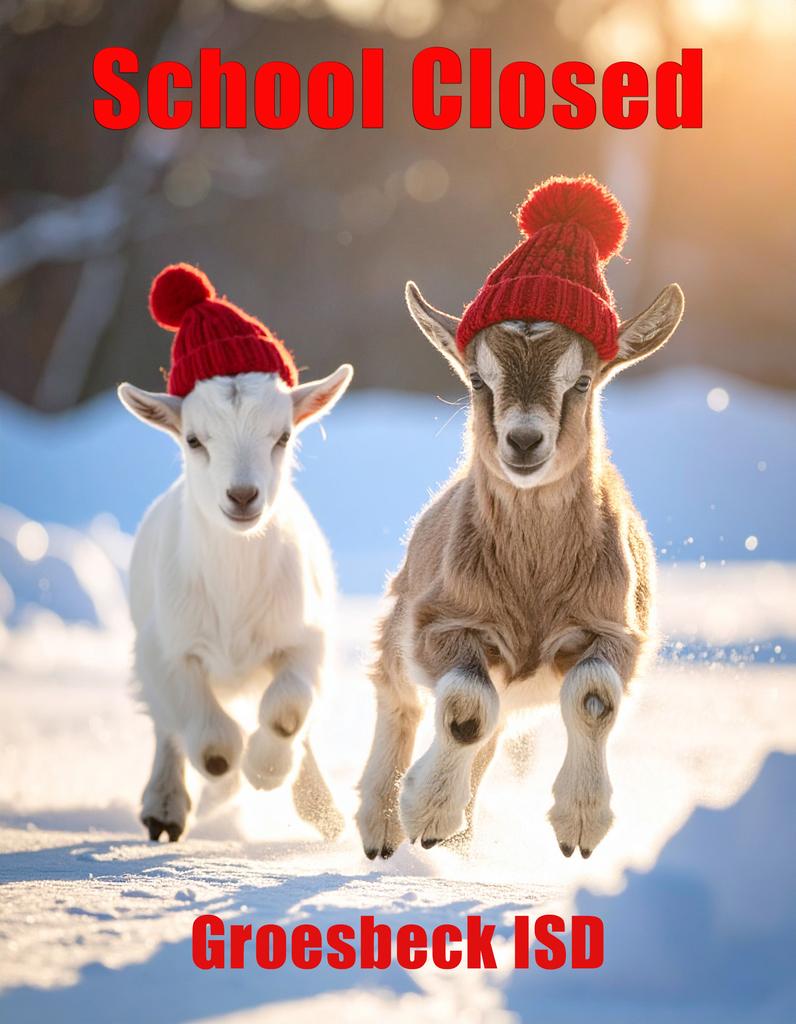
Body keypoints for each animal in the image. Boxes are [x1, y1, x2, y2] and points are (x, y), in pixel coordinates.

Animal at [118, 365, 352, 842]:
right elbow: (213, 746)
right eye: (193, 440)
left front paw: (266, 771)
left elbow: (287, 712)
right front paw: (224, 779)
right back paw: (167, 806)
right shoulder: (166, 651)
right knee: (168, 727)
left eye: (283, 436)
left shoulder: (304, 640)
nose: (242, 496)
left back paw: (321, 810)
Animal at [356, 280, 684, 860]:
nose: (524, 441)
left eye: (582, 381)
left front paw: (580, 825)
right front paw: (427, 814)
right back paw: (383, 828)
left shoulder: (615, 631)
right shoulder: (441, 623)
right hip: (401, 623)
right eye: (477, 379)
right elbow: (466, 710)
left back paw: (459, 843)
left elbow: (594, 699)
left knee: (490, 737)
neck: (532, 582)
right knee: (399, 699)